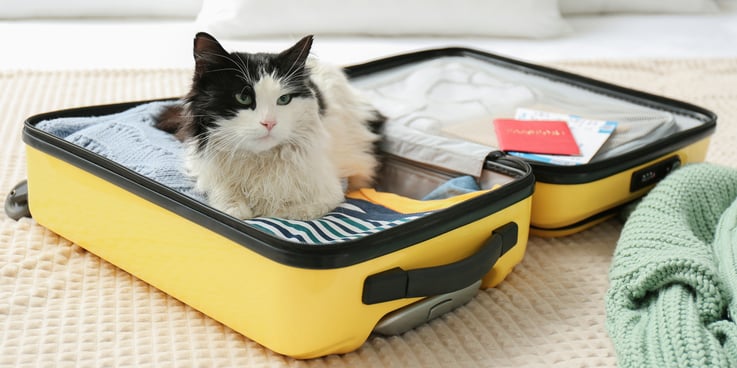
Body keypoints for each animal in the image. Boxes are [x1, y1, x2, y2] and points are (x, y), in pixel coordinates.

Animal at [157, 32, 382, 218]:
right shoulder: (204, 168)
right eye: (243, 98)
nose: (269, 123)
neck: (259, 161)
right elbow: (230, 204)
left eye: (284, 100)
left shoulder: (328, 193)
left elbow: (281, 210)